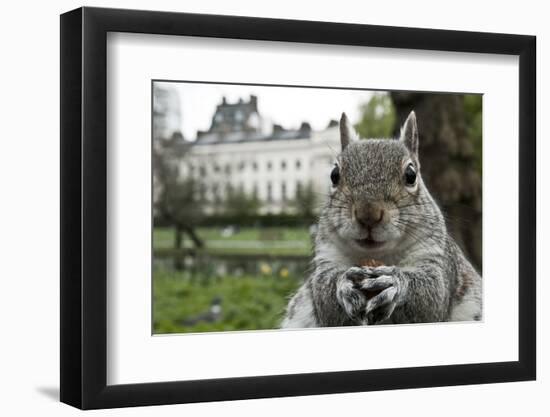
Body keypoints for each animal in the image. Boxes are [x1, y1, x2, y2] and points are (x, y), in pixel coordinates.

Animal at [284, 112, 484, 326]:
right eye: (334, 175)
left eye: (411, 175)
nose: (368, 214)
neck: (380, 256)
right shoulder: (327, 257)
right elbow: (325, 300)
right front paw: (343, 283)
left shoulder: (436, 258)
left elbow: (432, 297)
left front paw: (395, 283)